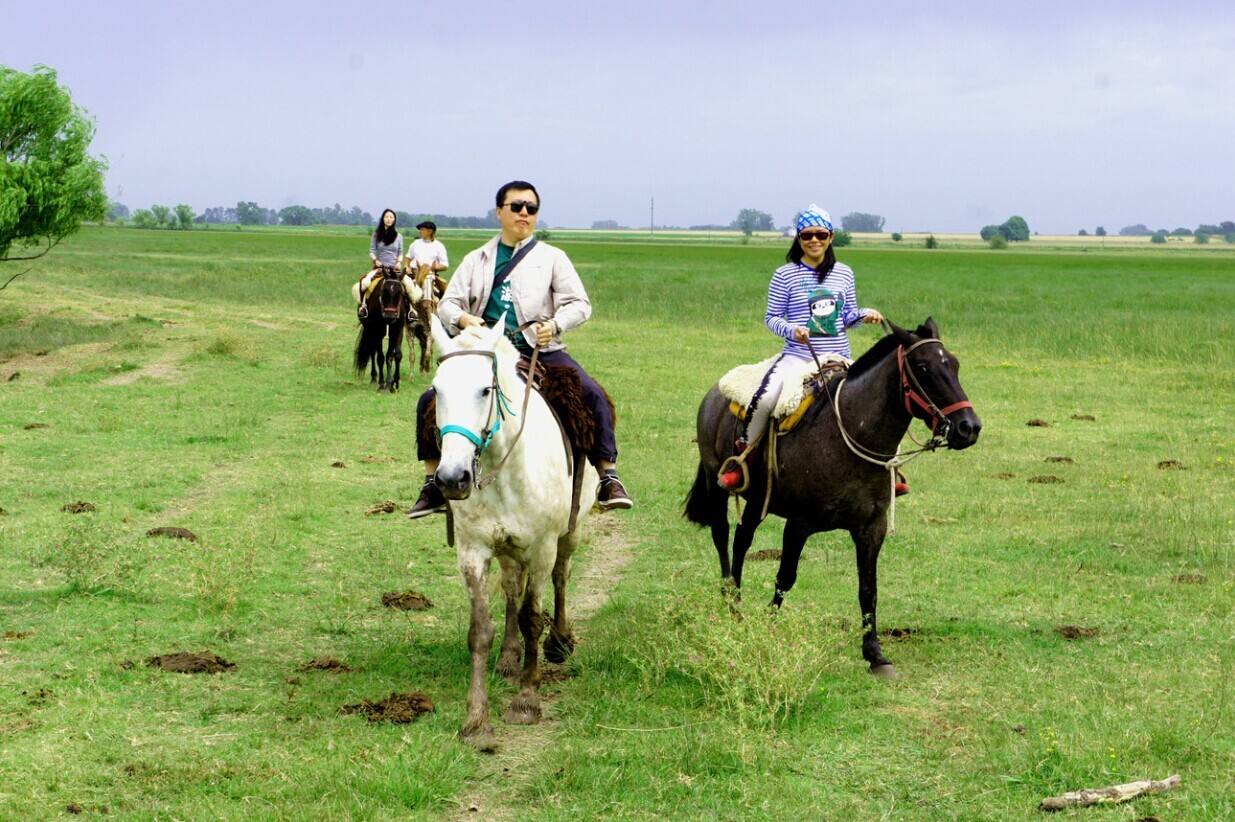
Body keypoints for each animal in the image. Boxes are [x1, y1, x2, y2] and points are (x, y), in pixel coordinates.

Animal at [429, 314, 597, 740]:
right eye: (436, 390)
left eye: (485, 389)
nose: (452, 478)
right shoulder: (473, 552)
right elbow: (480, 630)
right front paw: (475, 716)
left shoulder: (541, 548)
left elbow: (532, 617)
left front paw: (526, 700)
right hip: (507, 549)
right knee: (509, 588)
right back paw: (508, 656)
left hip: (569, 534)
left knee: (561, 577)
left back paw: (560, 642)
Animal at [686, 318, 983, 671]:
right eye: (923, 368)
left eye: (954, 364)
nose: (969, 427)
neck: (848, 434)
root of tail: (714, 394)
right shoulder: (799, 524)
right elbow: (785, 577)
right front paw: (770, 624)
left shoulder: (871, 527)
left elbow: (868, 588)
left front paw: (874, 653)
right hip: (716, 481)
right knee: (722, 534)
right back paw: (733, 602)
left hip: (758, 500)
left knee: (742, 540)